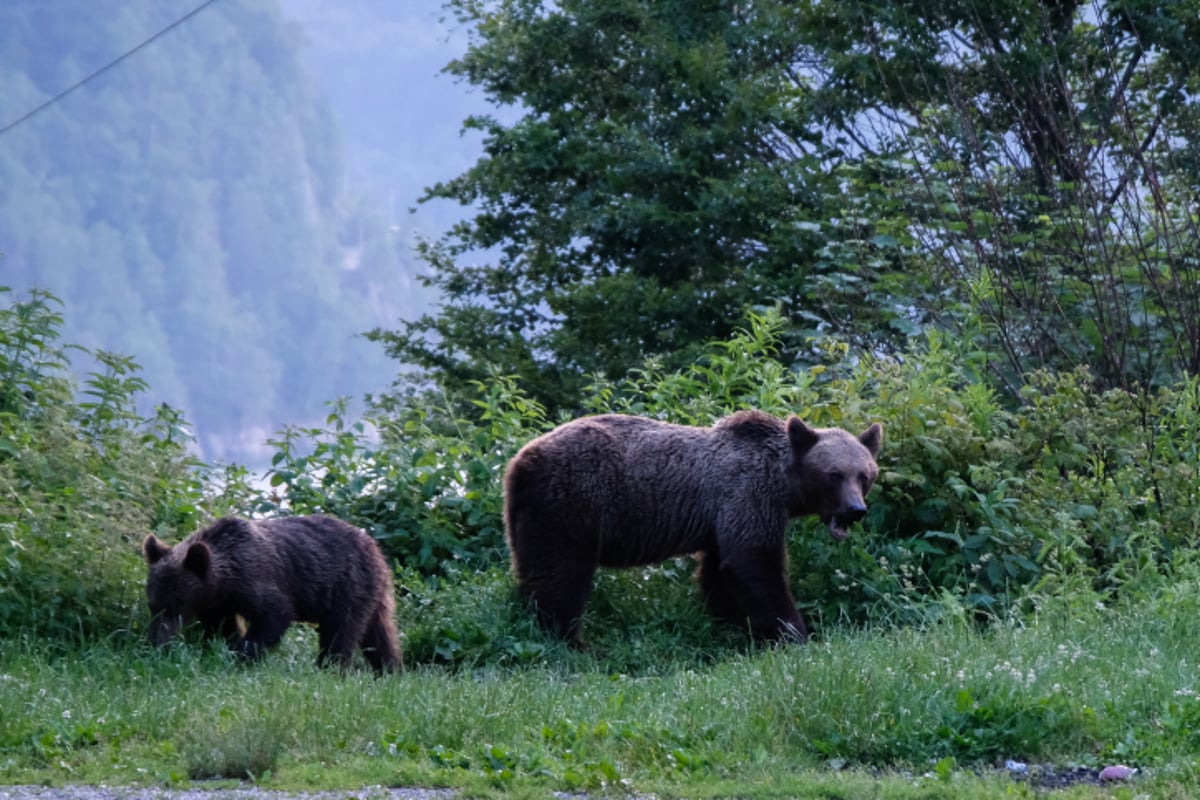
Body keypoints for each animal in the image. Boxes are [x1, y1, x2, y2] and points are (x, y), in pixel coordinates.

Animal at [140, 515, 403, 671]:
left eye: (177, 605)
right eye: (152, 605)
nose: (156, 643)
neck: (224, 581)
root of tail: (376, 548)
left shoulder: (255, 578)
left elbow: (275, 612)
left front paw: (243, 655)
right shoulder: (217, 602)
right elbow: (222, 628)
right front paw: (226, 649)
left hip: (347, 585)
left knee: (340, 630)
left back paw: (329, 667)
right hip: (372, 595)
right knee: (379, 633)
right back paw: (390, 669)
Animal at [501, 410, 888, 647]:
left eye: (864, 475)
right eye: (834, 474)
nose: (855, 510)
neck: (783, 485)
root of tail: (520, 459)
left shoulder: (722, 518)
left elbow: (721, 571)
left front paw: (731, 626)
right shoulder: (746, 494)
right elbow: (755, 563)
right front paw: (794, 632)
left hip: (528, 515)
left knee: (533, 564)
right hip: (574, 500)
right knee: (561, 574)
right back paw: (574, 641)